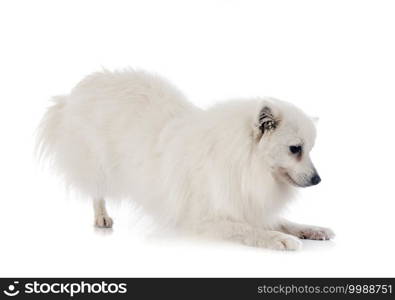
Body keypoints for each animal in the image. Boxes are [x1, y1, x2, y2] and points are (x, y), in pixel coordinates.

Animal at [37, 69, 334, 250]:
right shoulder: (203, 219)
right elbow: (247, 230)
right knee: (97, 190)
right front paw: (278, 239)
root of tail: (79, 90)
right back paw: (102, 217)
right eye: (295, 149)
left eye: (310, 149)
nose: (319, 180)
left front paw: (310, 229)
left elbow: (283, 221)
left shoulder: (246, 204)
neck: (247, 163)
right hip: (98, 162)